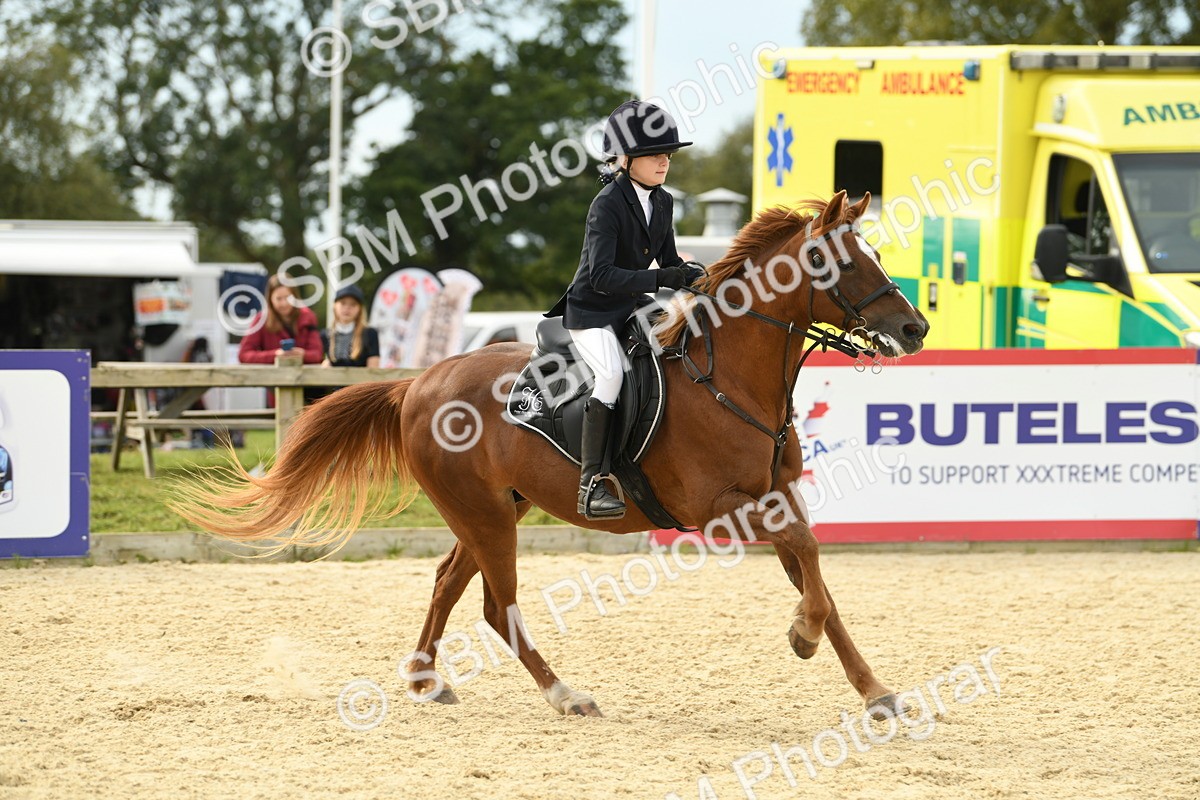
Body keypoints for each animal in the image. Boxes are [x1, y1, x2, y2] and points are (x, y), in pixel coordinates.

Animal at [171, 189, 930, 719]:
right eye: (838, 261)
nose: (915, 328)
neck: (731, 379)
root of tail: (418, 382)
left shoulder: (775, 497)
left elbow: (816, 573)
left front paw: (873, 689)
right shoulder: (723, 506)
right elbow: (808, 558)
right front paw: (802, 636)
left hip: (488, 510)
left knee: (449, 585)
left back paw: (426, 680)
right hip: (486, 517)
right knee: (495, 607)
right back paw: (565, 694)